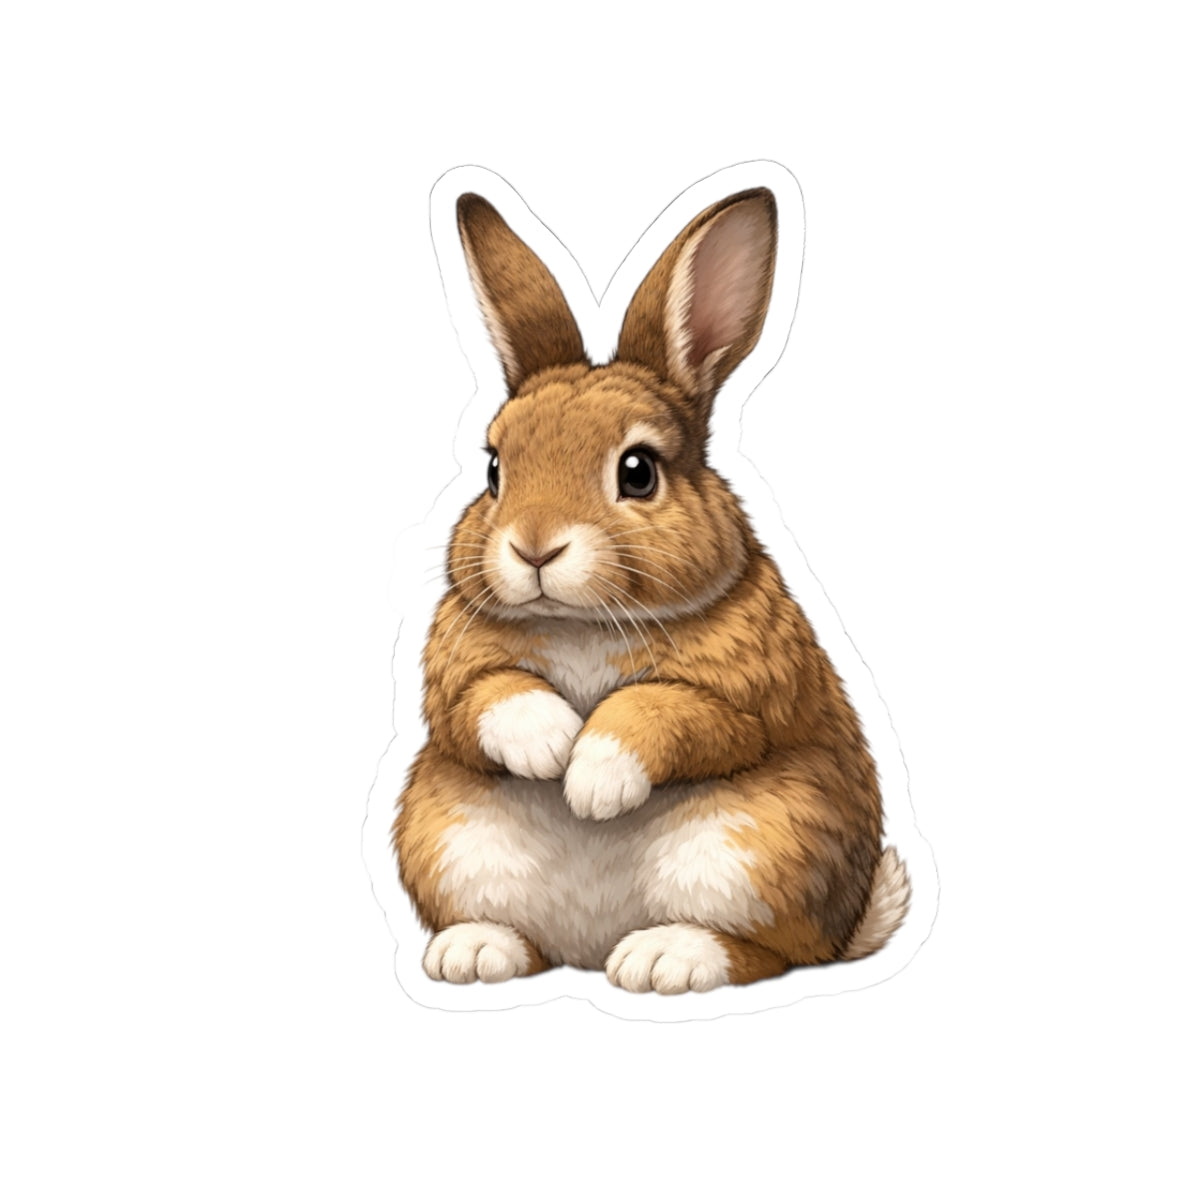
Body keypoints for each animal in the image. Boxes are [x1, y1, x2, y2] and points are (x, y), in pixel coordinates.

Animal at [392, 185, 911, 994]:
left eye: (637, 471)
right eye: (495, 469)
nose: (534, 547)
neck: (582, 623)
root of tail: (588, 948)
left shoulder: (744, 701)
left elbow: (665, 711)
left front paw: (590, 781)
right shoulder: (453, 682)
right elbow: (484, 698)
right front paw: (548, 748)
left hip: (761, 849)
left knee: (771, 954)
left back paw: (665, 957)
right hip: (444, 832)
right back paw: (473, 953)